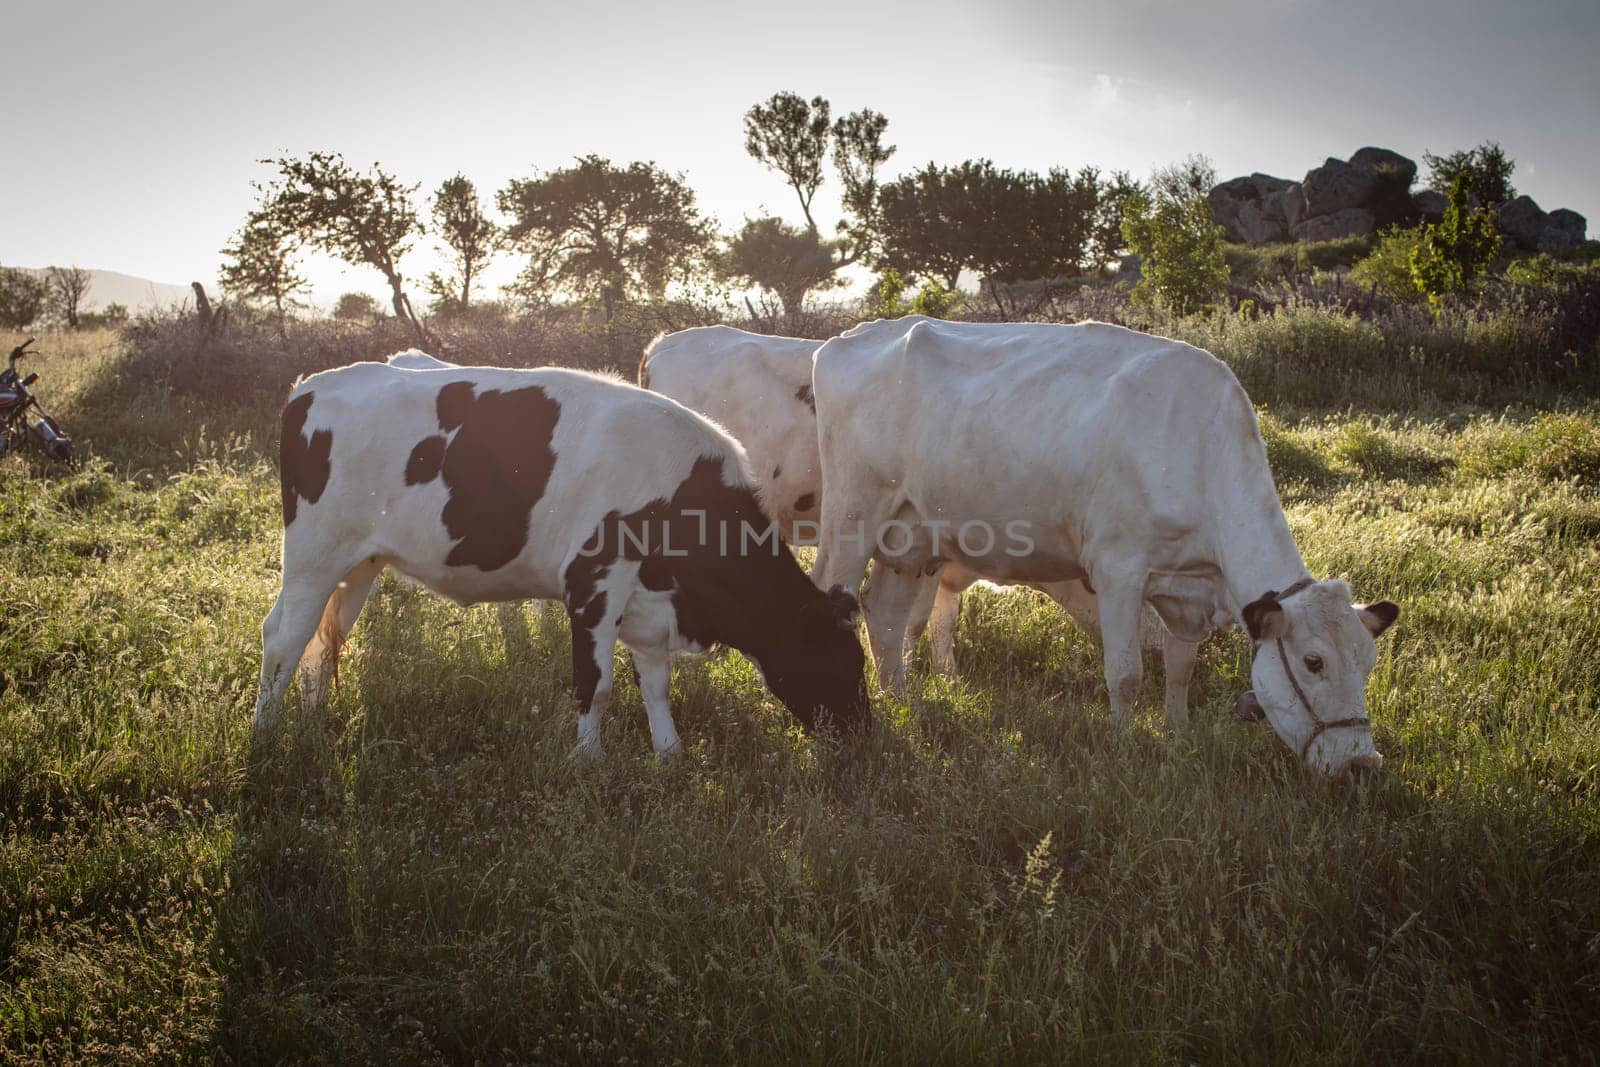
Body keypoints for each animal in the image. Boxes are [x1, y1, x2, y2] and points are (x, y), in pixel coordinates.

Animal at [256, 358, 870, 758]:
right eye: (838, 659)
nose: (864, 738)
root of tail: (312, 386)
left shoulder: (650, 601)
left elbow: (655, 681)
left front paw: (669, 754)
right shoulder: (593, 582)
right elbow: (595, 683)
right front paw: (588, 761)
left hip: (359, 563)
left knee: (325, 640)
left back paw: (312, 722)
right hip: (313, 553)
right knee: (284, 638)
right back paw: (265, 736)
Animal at [812, 316, 1401, 777]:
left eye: (1369, 663)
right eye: (1313, 662)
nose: (1361, 763)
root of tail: (848, 337)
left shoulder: (1185, 588)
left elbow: (1181, 667)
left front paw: (1178, 733)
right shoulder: (1119, 570)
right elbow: (1126, 674)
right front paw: (1123, 746)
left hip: (912, 539)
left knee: (886, 615)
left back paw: (900, 701)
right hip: (852, 516)